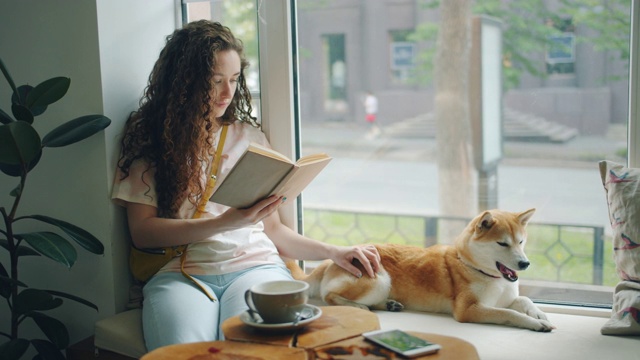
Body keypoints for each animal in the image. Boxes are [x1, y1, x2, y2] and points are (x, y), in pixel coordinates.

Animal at [288, 208, 556, 332]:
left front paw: (539, 314)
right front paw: (534, 323)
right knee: (330, 297)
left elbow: (524, 300)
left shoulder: (505, 297)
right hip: (380, 280)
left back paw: (389, 305)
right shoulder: (470, 310)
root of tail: (332, 261)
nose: (525, 264)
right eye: (502, 244)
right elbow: (509, 314)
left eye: (521, 242)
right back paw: (359, 307)